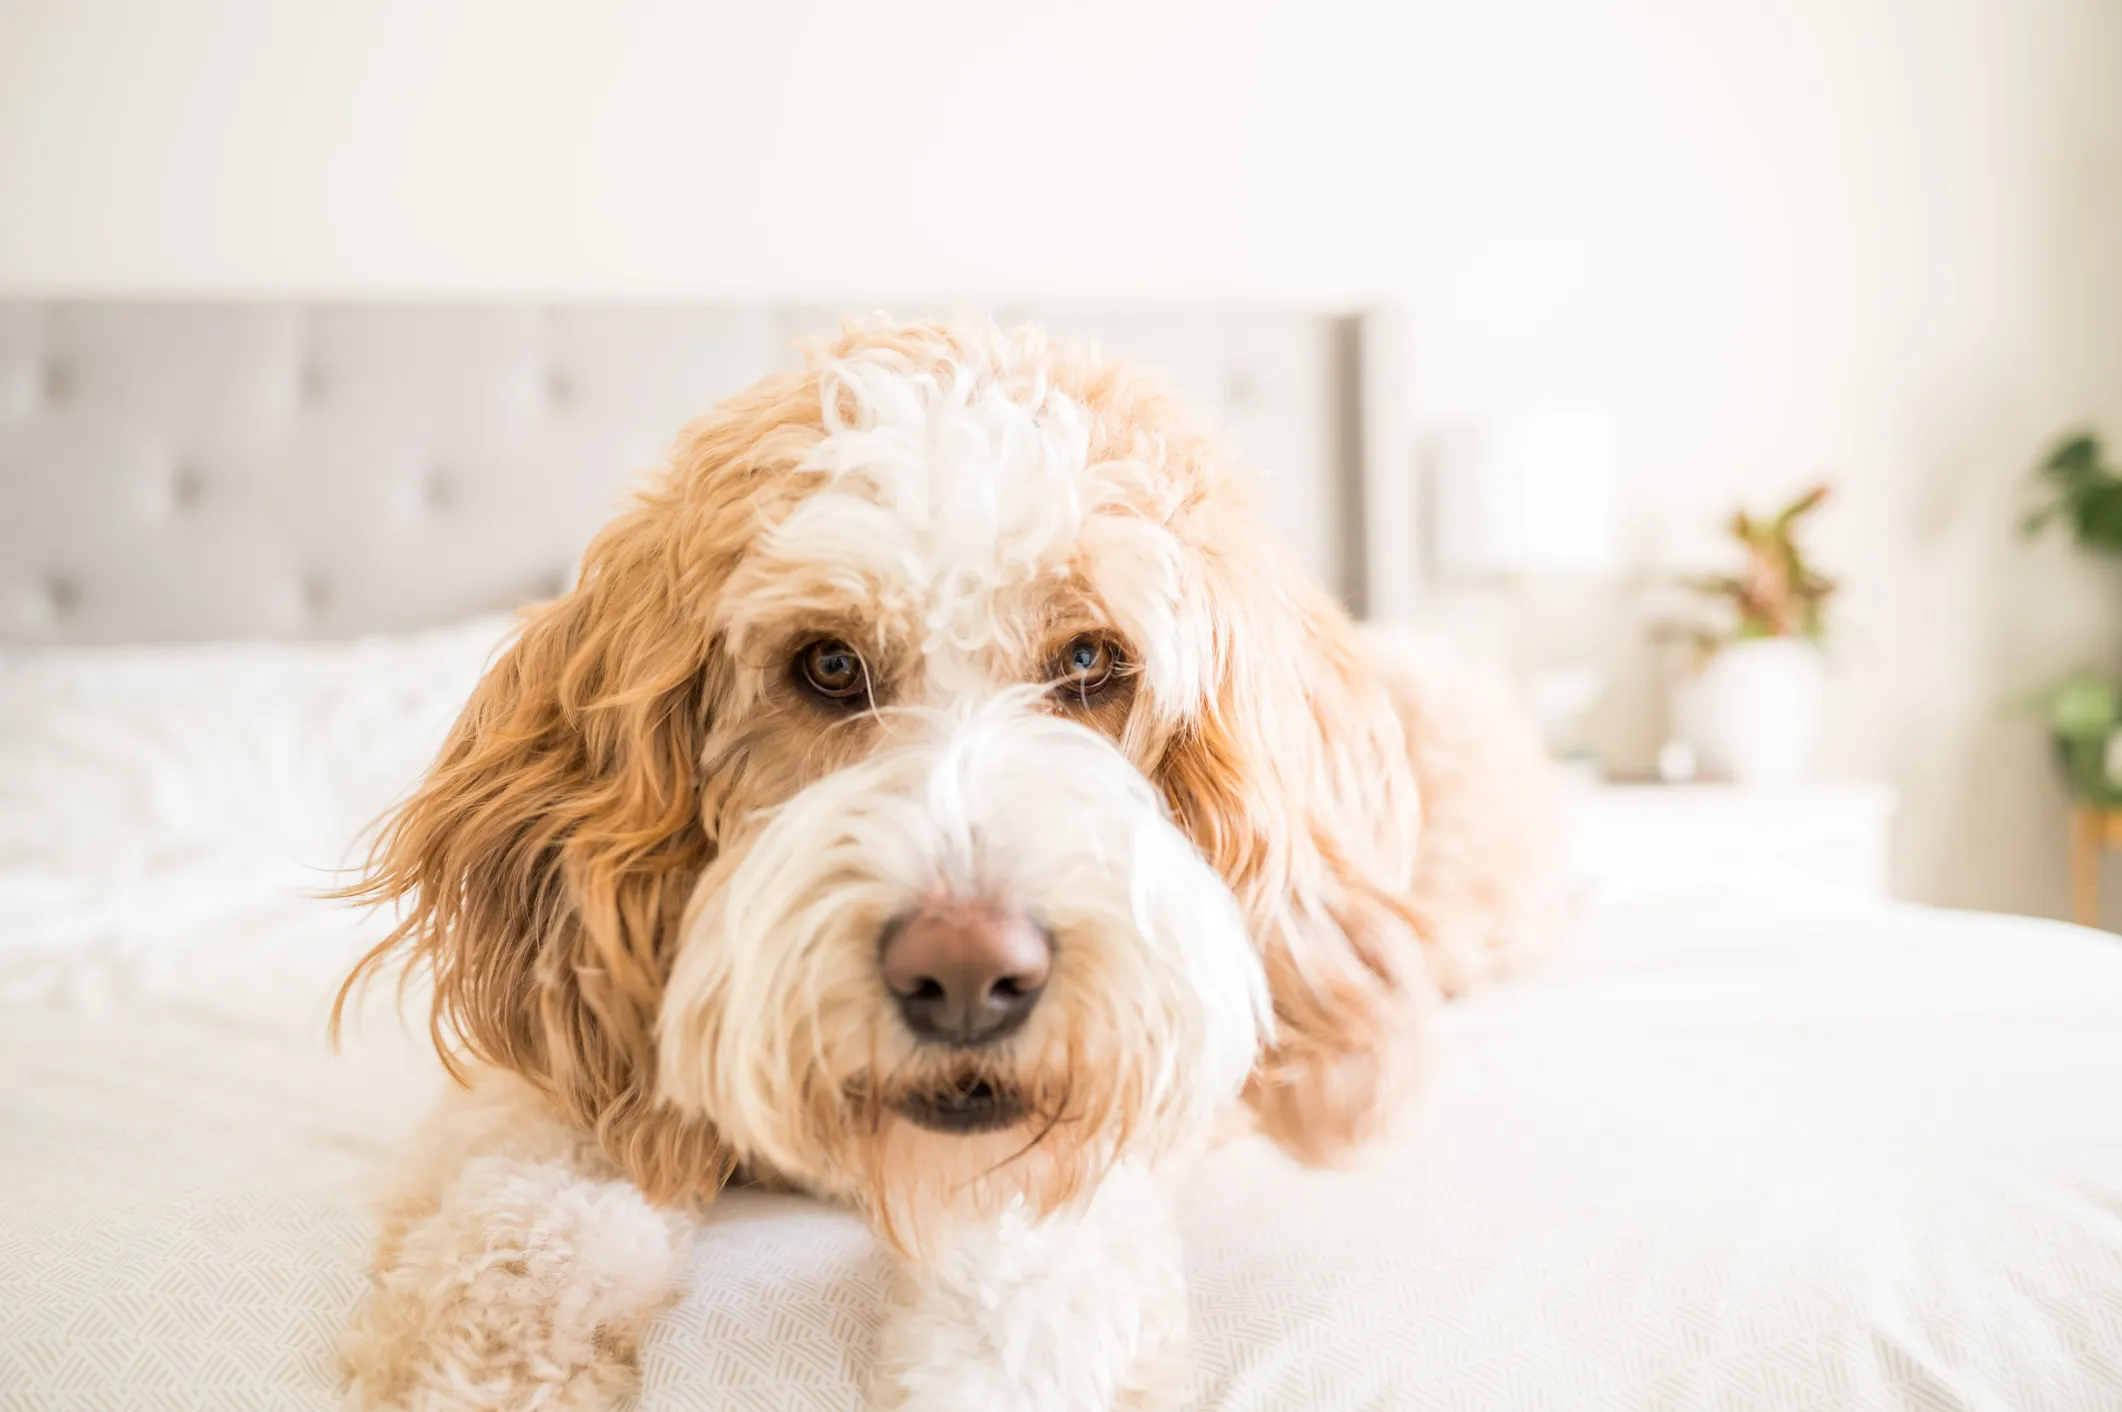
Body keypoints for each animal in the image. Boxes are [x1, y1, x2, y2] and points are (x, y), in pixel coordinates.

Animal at [335, 316, 1561, 1409]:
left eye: (1091, 661)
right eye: (828, 664)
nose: (967, 973)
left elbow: (1033, 1281)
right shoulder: (567, 1060)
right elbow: (519, 1223)